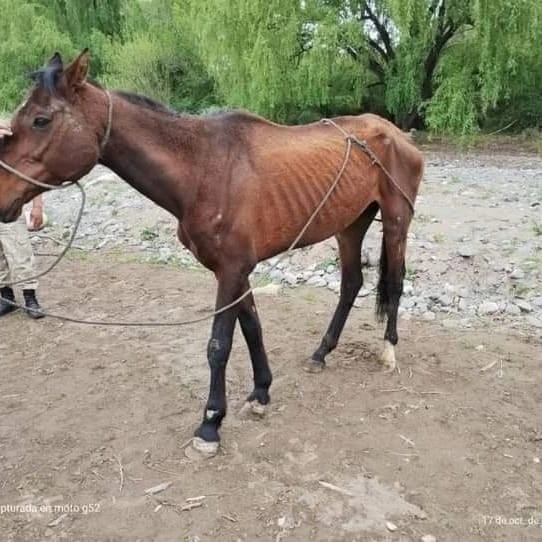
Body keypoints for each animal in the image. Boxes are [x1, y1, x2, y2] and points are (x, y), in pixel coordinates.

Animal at [0, 52, 424, 460]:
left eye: (40, 120)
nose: (2, 196)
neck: (202, 170)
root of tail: (397, 134)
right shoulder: (237, 272)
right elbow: (252, 329)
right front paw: (261, 392)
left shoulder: (231, 271)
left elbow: (219, 345)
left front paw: (210, 424)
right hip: (350, 225)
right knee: (351, 283)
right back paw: (321, 352)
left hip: (396, 222)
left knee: (396, 283)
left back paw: (388, 351)